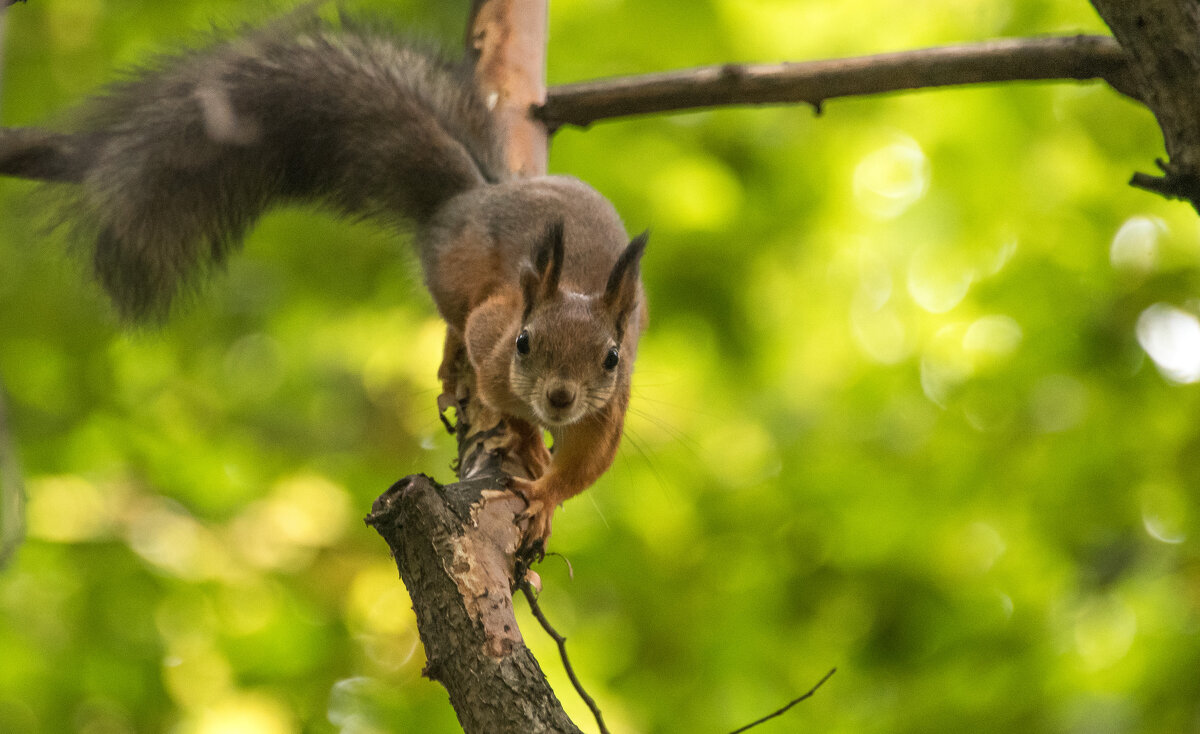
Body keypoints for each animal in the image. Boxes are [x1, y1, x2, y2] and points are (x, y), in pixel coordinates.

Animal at [2, 12, 648, 551]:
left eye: (611, 356)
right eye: (524, 343)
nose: (559, 398)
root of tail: (464, 199)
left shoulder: (608, 408)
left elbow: (590, 463)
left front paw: (545, 495)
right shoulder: (496, 345)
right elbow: (501, 395)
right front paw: (529, 440)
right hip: (455, 279)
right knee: (455, 320)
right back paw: (452, 364)